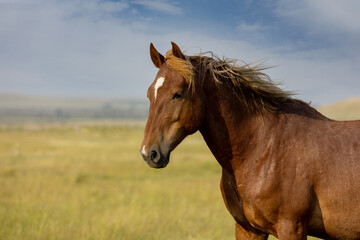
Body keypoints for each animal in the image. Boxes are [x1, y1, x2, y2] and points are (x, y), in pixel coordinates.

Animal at [139, 42, 360, 239]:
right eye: (150, 94)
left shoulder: (291, 228)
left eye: (178, 94)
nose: (149, 153)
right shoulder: (248, 229)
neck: (261, 148)